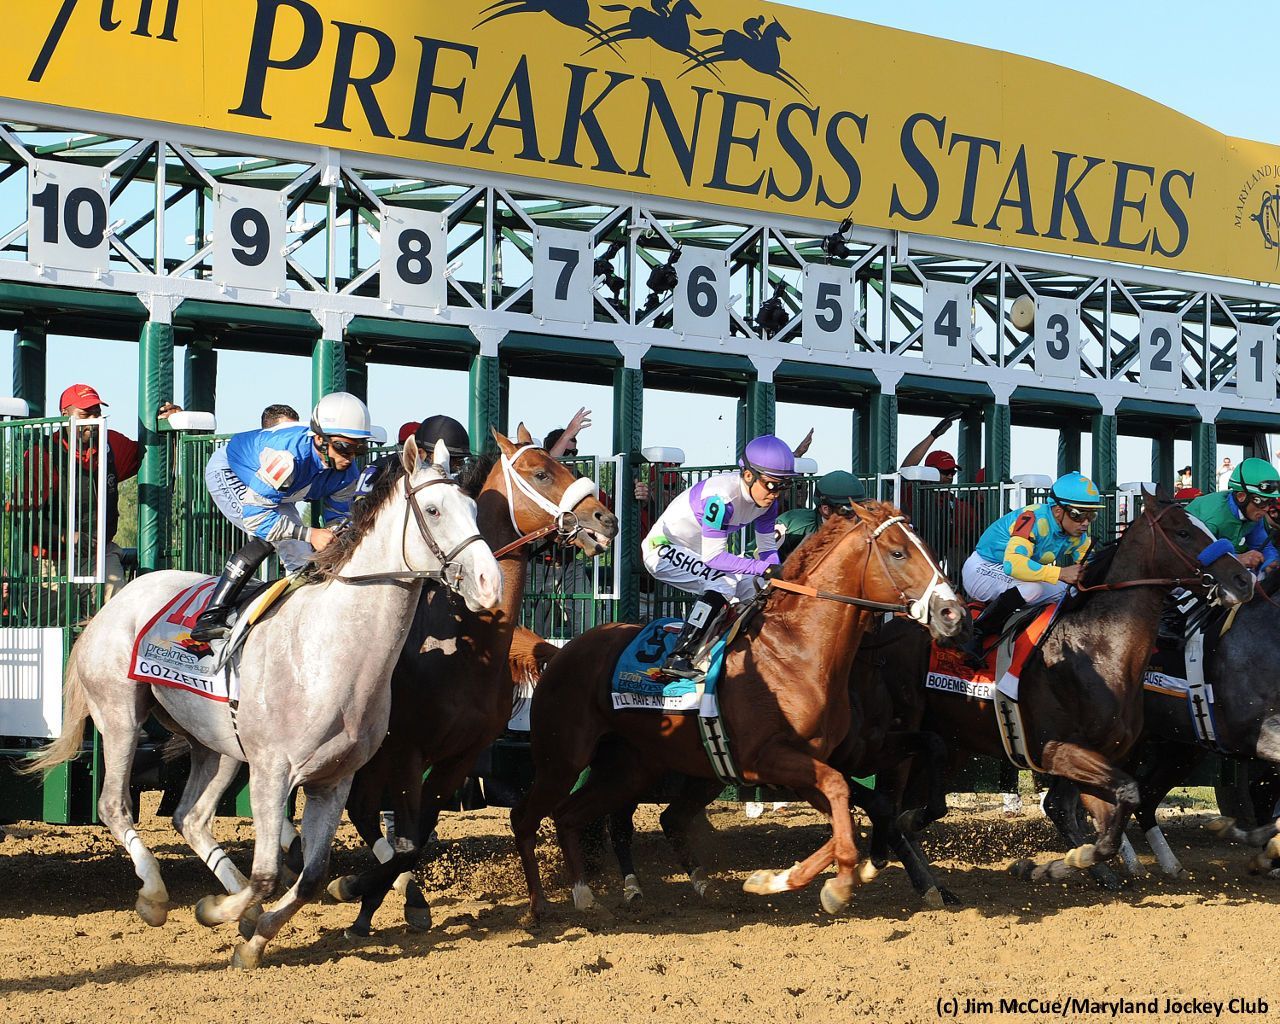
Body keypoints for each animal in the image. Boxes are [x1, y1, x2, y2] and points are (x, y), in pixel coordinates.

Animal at [27, 440, 499, 967]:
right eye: (434, 510)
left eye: (474, 509)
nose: (489, 582)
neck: (332, 653)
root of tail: (115, 601)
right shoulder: (273, 771)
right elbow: (270, 873)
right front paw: (220, 915)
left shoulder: (333, 779)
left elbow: (311, 876)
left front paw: (251, 934)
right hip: (120, 717)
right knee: (114, 805)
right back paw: (155, 896)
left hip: (218, 746)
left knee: (191, 818)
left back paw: (235, 904)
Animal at [322, 424, 616, 936]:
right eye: (540, 472)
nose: (606, 519)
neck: (464, 649)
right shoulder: (407, 751)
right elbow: (407, 837)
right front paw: (359, 891)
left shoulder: (459, 756)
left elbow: (416, 839)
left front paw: (375, 898)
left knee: (361, 808)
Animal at [506, 504, 962, 921]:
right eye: (899, 552)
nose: (953, 614)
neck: (796, 650)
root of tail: (561, 650)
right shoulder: (772, 761)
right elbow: (843, 798)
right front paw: (832, 882)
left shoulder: (824, 759)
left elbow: (854, 805)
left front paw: (803, 875)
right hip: (562, 757)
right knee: (525, 817)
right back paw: (538, 907)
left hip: (632, 768)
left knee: (578, 815)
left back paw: (591, 895)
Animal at [849, 491, 1249, 890]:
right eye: (1182, 532)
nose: (1243, 578)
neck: (1097, 646)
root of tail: (882, 633)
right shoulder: (1054, 749)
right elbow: (1117, 799)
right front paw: (1057, 866)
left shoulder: (1101, 754)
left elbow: (1106, 818)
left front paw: (1063, 866)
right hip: (904, 733)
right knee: (891, 801)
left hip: (952, 741)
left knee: (910, 802)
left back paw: (934, 885)